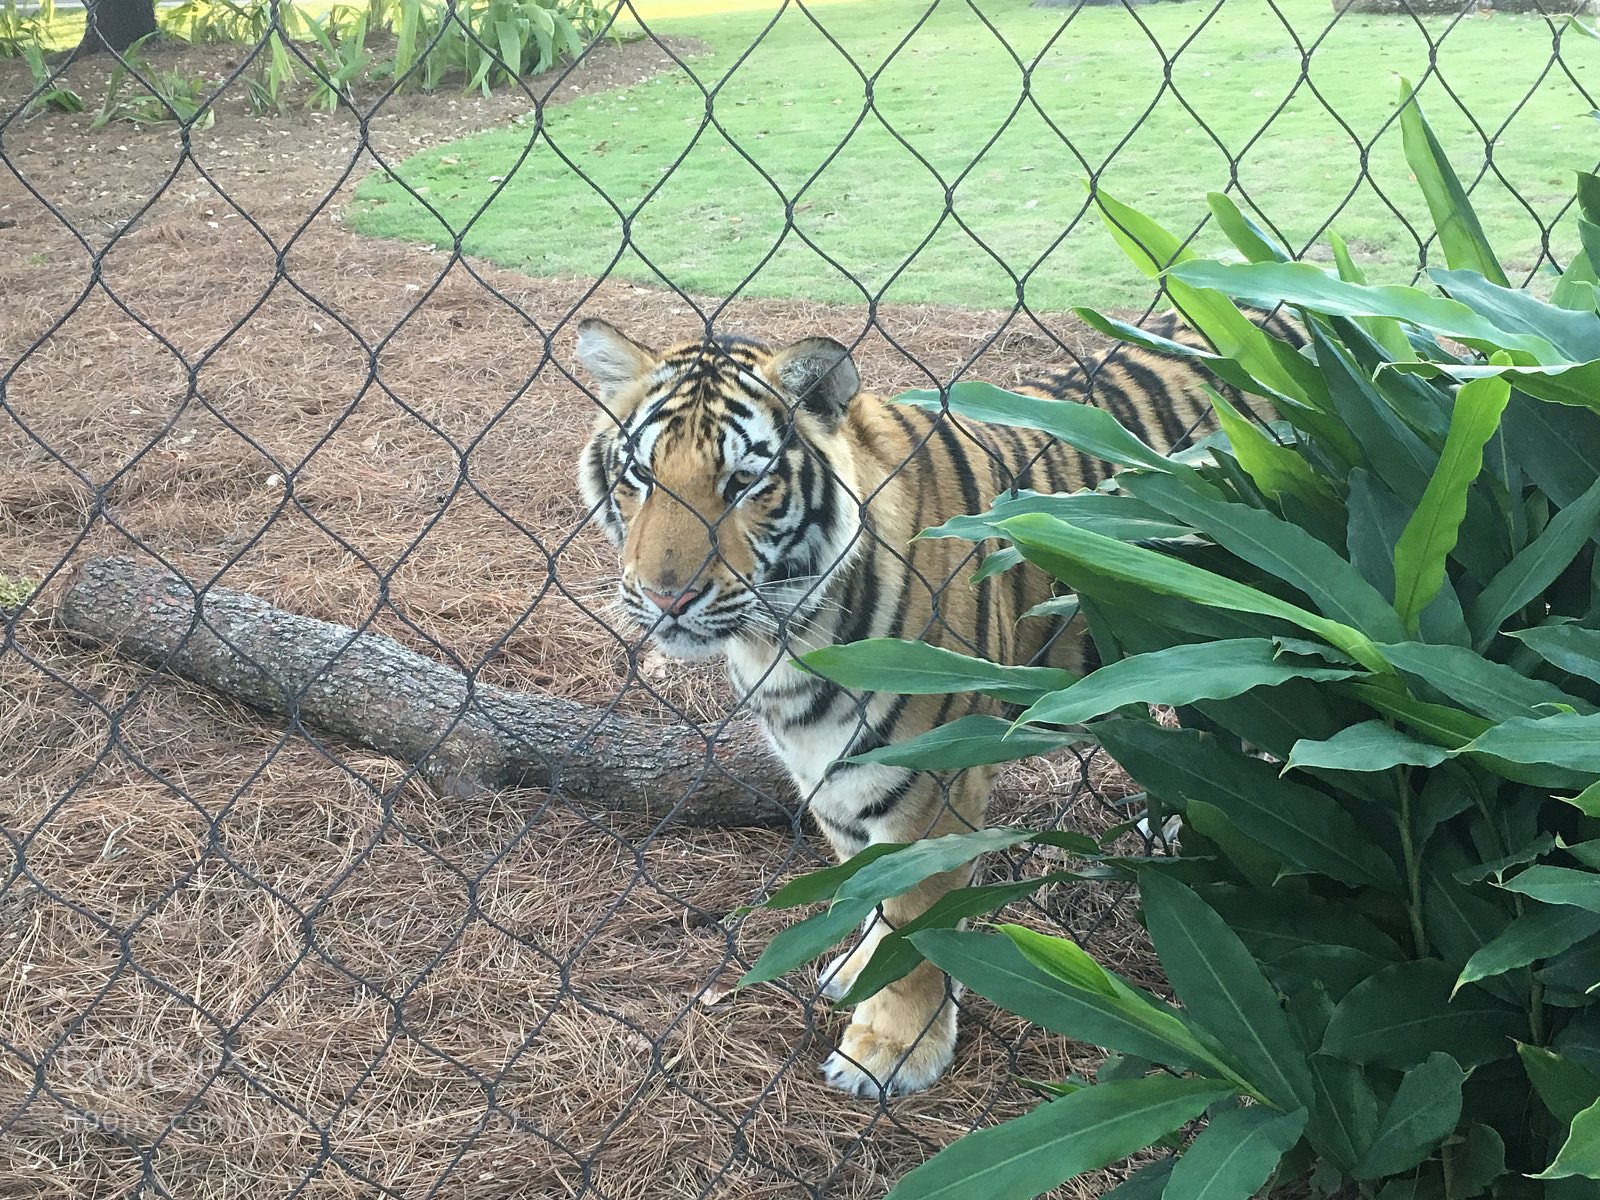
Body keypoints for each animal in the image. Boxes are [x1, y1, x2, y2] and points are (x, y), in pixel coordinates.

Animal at [573, 312, 1247, 1097]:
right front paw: (860, 969)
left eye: (744, 482)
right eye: (640, 476)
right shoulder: (826, 770)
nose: (665, 598)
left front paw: (891, 1049)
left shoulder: (933, 779)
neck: (784, 643)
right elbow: (866, 883)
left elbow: (915, 917)